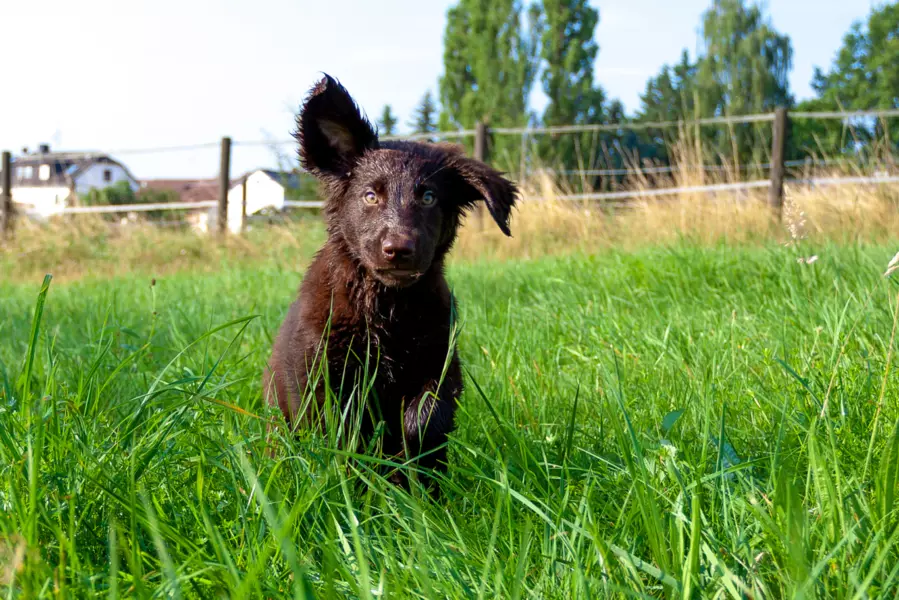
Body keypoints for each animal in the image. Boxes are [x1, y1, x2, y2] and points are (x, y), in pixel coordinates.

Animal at [264, 75, 516, 492]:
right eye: (370, 195)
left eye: (428, 197)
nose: (398, 249)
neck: (387, 306)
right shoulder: (319, 372)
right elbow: (342, 433)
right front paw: (355, 482)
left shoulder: (440, 362)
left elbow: (425, 419)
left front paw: (413, 478)